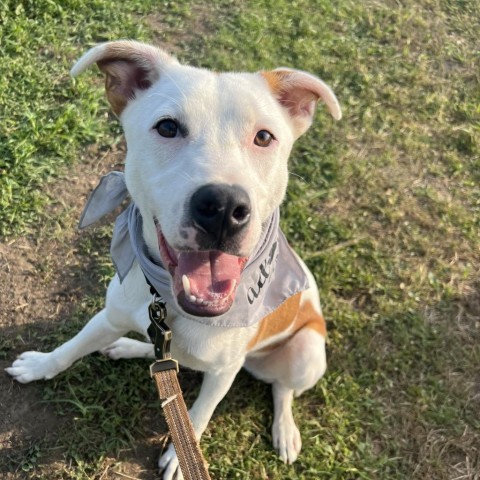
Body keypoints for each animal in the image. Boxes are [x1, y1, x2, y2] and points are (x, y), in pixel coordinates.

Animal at [5, 42, 340, 480]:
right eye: (167, 127)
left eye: (264, 137)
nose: (223, 207)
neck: (172, 302)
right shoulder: (109, 316)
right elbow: (72, 346)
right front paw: (40, 365)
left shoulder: (223, 372)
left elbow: (198, 415)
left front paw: (182, 459)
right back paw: (130, 347)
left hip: (306, 352)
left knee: (283, 389)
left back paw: (285, 430)